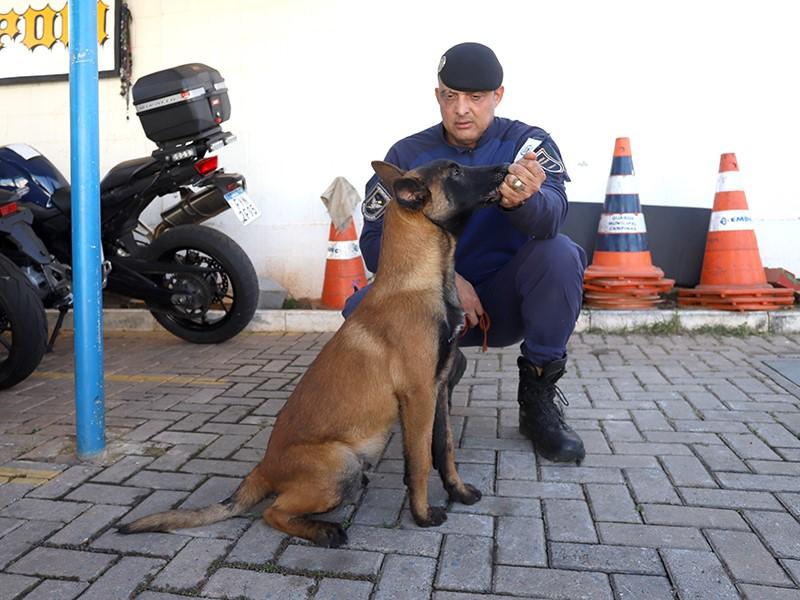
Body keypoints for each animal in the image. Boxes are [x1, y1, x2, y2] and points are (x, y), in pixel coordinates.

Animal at [117, 159, 506, 548]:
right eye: (455, 172)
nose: (505, 168)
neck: (419, 281)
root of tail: (264, 467)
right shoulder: (419, 394)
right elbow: (422, 460)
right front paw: (423, 515)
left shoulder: (438, 390)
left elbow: (445, 448)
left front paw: (458, 492)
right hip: (342, 462)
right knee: (273, 512)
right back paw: (325, 530)